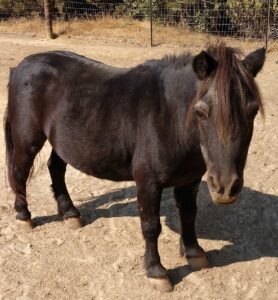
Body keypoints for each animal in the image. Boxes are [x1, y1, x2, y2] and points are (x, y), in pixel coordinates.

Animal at [4, 43, 264, 292]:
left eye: (252, 110)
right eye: (200, 111)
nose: (226, 187)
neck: (169, 116)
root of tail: (21, 66)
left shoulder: (188, 180)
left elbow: (189, 215)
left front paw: (194, 254)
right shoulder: (148, 183)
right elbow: (151, 227)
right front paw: (157, 272)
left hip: (63, 142)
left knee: (55, 168)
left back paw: (70, 213)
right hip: (28, 138)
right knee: (19, 172)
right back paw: (24, 216)